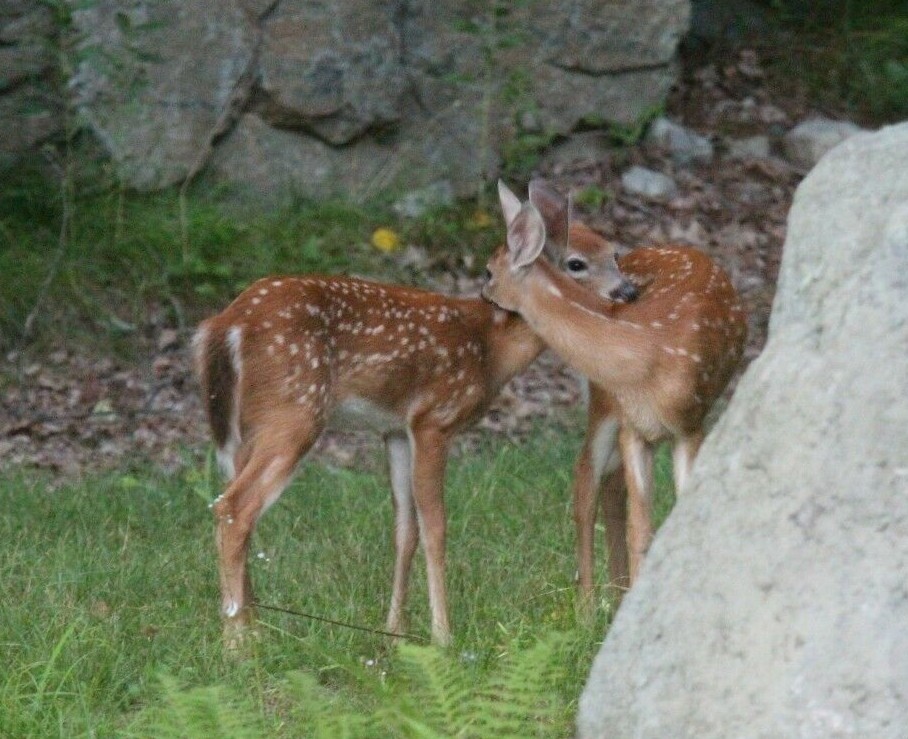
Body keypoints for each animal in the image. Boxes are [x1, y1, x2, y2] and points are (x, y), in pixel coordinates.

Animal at [192, 199, 639, 648]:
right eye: (577, 263)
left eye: (614, 252)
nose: (630, 293)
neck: (491, 349)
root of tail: (224, 326)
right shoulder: (434, 418)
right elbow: (435, 526)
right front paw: (443, 635)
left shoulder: (395, 428)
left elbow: (404, 529)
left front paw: (395, 632)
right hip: (294, 410)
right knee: (233, 508)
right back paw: (239, 645)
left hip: (250, 423)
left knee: (233, 505)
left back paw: (253, 626)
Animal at [486, 180, 747, 602]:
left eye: (488, 270)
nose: (483, 294)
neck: (647, 350)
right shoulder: (633, 427)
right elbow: (641, 528)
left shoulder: (690, 423)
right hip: (603, 402)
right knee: (587, 479)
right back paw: (591, 604)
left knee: (605, 482)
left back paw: (615, 593)